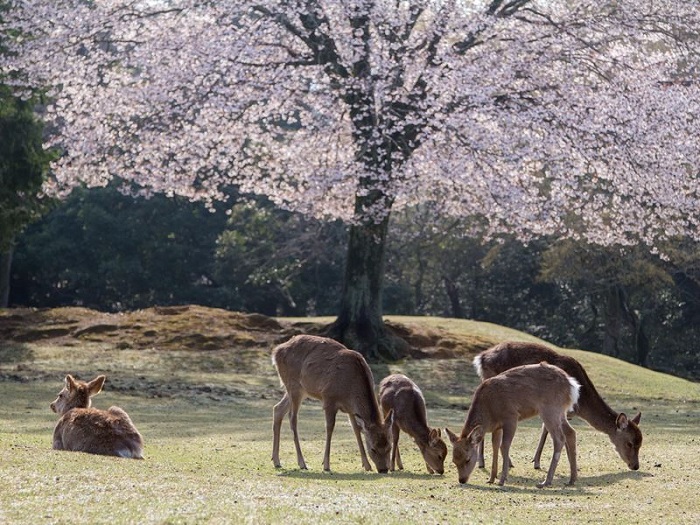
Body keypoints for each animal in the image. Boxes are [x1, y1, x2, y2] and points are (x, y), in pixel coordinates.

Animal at [270, 334, 392, 472]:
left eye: (389, 447)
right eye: (373, 449)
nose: (384, 469)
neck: (350, 389)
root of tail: (275, 352)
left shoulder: (351, 409)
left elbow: (356, 429)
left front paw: (367, 465)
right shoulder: (329, 398)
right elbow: (330, 427)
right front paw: (326, 465)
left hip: (300, 390)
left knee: (277, 409)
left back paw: (276, 461)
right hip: (293, 385)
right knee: (292, 417)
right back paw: (302, 463)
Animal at [448, 360, 580, 488]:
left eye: (468, 459)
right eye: (454, 460)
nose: (462, 480)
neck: (489, 413)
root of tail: (572, 386)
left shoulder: (511, 417)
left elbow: (504, 446)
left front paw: (502, 480)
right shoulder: (497, 427)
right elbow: (495, 446)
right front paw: (491, 479)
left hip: (550, 409)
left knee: (559, 438)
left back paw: (546, 481)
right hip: (560, 411)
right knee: (571, 432)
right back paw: (572, 479)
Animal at [474, 340, 644, 470]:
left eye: (641, 443)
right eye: (629, 443)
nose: (635, 466)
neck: (581, 403)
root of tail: (481, 358)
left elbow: (545, 430)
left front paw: (536, 462)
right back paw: (487, 462)